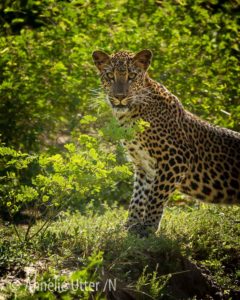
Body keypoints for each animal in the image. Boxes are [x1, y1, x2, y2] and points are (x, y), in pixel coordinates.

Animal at [93, 49, 240, 237]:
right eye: (110, 75)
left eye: (131, 76)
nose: (120, 97)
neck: (130, 115)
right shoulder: (143, 165)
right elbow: (138, 197)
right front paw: (130, 226)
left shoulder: (175, 160)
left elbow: (156, 197)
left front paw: (147, 228)